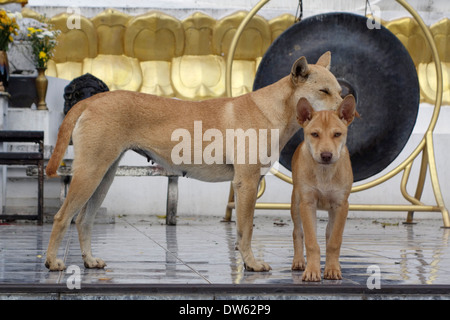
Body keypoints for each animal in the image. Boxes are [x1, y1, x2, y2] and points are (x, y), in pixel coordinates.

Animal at [44, 52, 344, 272]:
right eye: (324, 91)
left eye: (340, 90)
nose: (346, 110)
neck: (273, 110)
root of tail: (92, 100)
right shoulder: (246, 183)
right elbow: (246, 229)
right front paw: (251, 264)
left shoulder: (246, 185)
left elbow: (241, 231)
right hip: (90, 173)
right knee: (62, 217)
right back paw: (52, 262)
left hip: (104, 176)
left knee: (83, 220)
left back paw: (89, 261)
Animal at [290, 94, 356, 280]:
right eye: (315, 134)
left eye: (337, 134)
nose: (326, 155)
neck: (325, 173)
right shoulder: (307, 204)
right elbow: (311, 241)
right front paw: (312, 271)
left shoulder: (341, 205)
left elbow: (334, 240)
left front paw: (332, 269)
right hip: (295, 203)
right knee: (297, 232)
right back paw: (299, 261)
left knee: (328, 233)